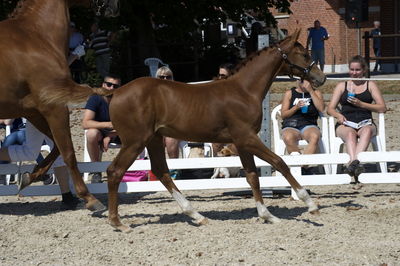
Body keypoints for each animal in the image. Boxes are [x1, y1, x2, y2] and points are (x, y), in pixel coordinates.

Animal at [0, 0, 119, 212]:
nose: (115, 7)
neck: (36, 36)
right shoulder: (55, 108)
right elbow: (69, 153)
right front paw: (90, 199)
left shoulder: (34, 112)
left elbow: (57, 148)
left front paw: (30, 176)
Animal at [105, 29, 324, 233]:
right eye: (304, 54)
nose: (321, 78)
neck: (244, 91)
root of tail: (116, 92)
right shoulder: (247, 138)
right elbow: (280, 163)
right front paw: (310, 204)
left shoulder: (241, 142)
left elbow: (252, 176)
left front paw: (267, 215)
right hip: (135, 141)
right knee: (115, 171)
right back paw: (117, 223)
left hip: (153, 139)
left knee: (161, 171)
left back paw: (197, 215)